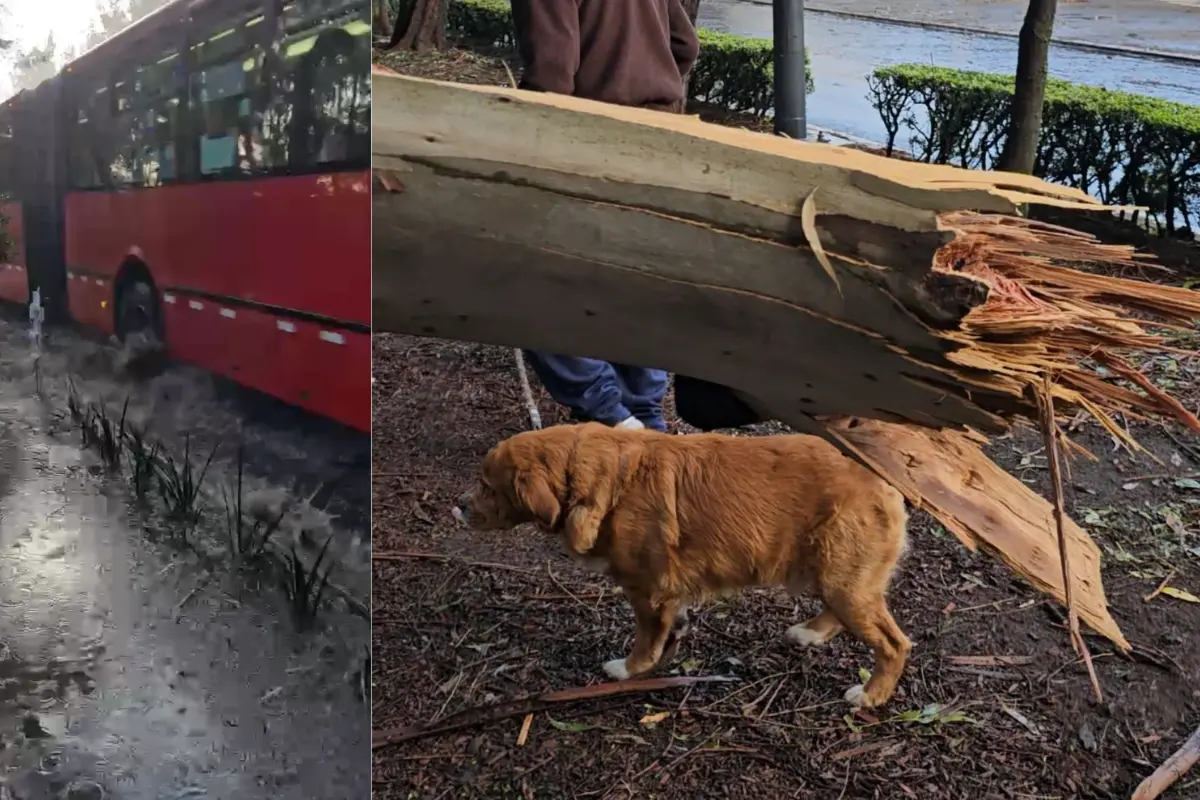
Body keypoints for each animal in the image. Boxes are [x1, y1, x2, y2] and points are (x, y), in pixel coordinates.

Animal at [453, 422, 912, 710]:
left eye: (486, 486)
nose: (457, 507)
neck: (606, 480)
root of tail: (882, 475)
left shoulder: (646, 591)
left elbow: (644, 640)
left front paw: (630, 669)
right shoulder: (666, 593)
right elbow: (670, 626)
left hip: (843, 579)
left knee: (893, 643)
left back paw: (871, 695)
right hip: (832, 575)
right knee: (837, 613)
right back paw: (810, 633)